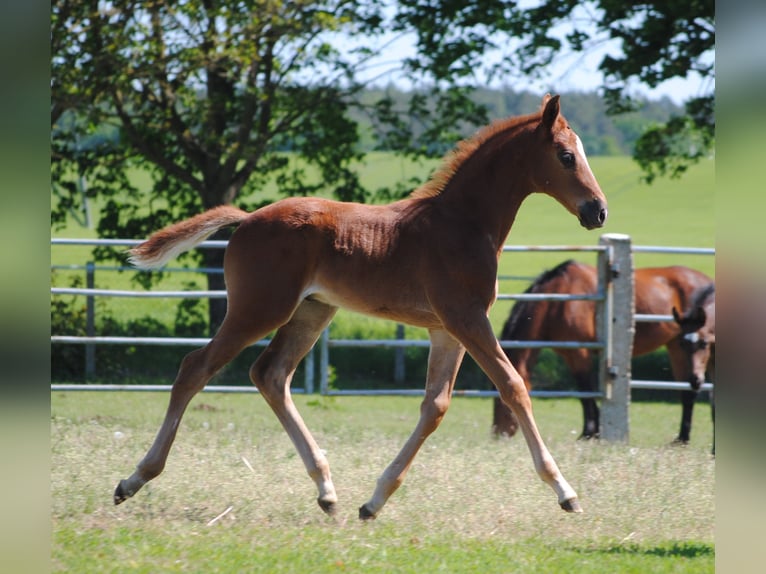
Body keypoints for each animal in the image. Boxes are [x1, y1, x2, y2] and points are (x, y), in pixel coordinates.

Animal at [114, 95, 607, 519]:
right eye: (566, 155)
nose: (598, 211)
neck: (463, 224)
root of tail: (247, 218)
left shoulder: (446, 328)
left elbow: (435, 406)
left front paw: (374, 501)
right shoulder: (466, 317)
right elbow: (512, 385)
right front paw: (565, 491)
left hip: (311, 311)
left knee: (270, 374)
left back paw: (326, 490)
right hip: (258, 309)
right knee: (195, 368)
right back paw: (134, 479)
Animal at [492, 260, 713, 444]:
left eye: (502, 401)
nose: (498, 433)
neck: (556, 301)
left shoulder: (580, 353)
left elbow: (585, 391)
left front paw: (589, 432)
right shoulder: (568, 354)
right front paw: (592, 431)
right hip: (677, 346)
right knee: (687, 392)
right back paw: (682, 438)